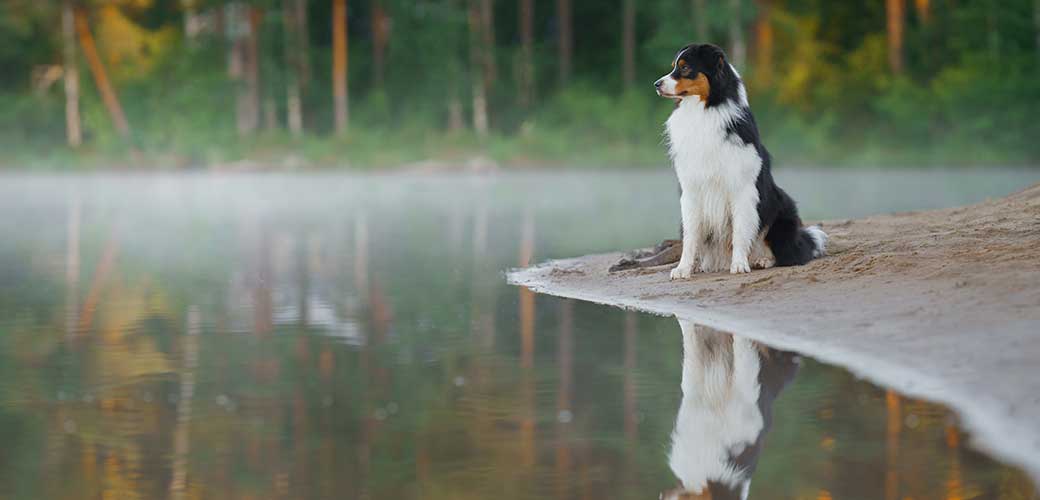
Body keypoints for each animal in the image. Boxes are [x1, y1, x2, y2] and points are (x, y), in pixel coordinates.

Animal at [611, 42, 823, 274]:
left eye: (685, 68)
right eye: (673, 66)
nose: (656, 84)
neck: (702, 112)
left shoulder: (742, 188)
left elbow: (740, 231)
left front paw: (739, 265)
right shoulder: (691, 190)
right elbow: (691, 237)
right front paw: (683, 269)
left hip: (781, 209)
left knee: (787, 253)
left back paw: (761, 260)